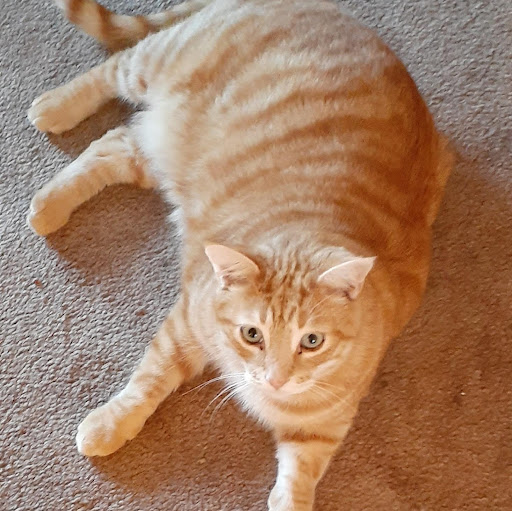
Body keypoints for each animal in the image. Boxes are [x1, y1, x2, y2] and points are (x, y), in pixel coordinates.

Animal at [27, 0, 453, 509]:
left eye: (312, 341)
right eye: (253, 334)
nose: (275, 378)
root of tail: (323, 8)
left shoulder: (324, 424)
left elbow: (299, 476)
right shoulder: (186, 323)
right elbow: (149, 379)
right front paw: (111, 422)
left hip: (160, 152)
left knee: (111, 144)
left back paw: (48, 204)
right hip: (157, 63)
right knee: (113, 69)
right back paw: (53, 110)